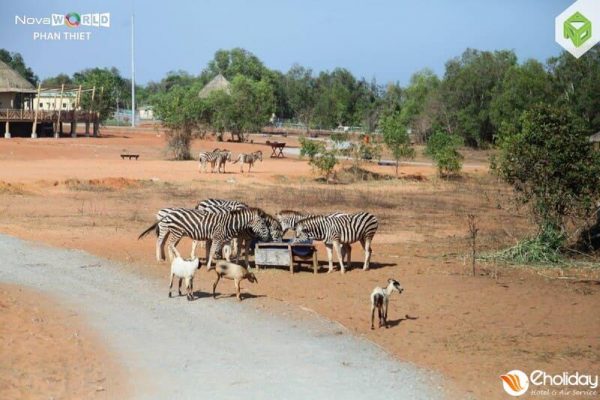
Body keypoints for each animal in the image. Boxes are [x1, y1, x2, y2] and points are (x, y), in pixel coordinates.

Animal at [138, 208, 270, 270]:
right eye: (263, 224)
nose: (268, 237)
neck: (229, 224)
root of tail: (170, 213)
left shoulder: (226, 240)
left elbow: (227, 253)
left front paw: (229, 266)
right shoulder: (217, 237)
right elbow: (212, 251)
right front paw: (208, 266)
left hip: (176, 232)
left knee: (170, 245)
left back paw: (171, 260)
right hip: (176, 231)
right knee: (166, 243)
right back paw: (170, 258)